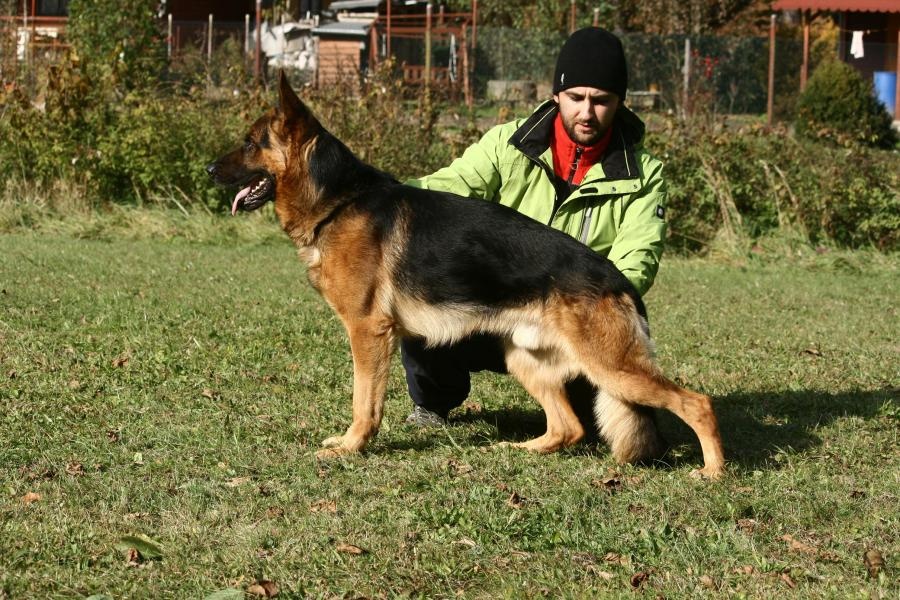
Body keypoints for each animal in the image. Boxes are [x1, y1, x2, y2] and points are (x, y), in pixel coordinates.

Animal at [206, 74, 724, 478]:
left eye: (250, 143)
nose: (210, 168)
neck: (338, 199)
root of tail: (621, 283)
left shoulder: (368, 332)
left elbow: (363, 401)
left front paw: (354, 446)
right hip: (526, 359)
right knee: (569, 427)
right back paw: (521, 450)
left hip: (610, 367)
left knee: (696, 402)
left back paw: (713, 472)